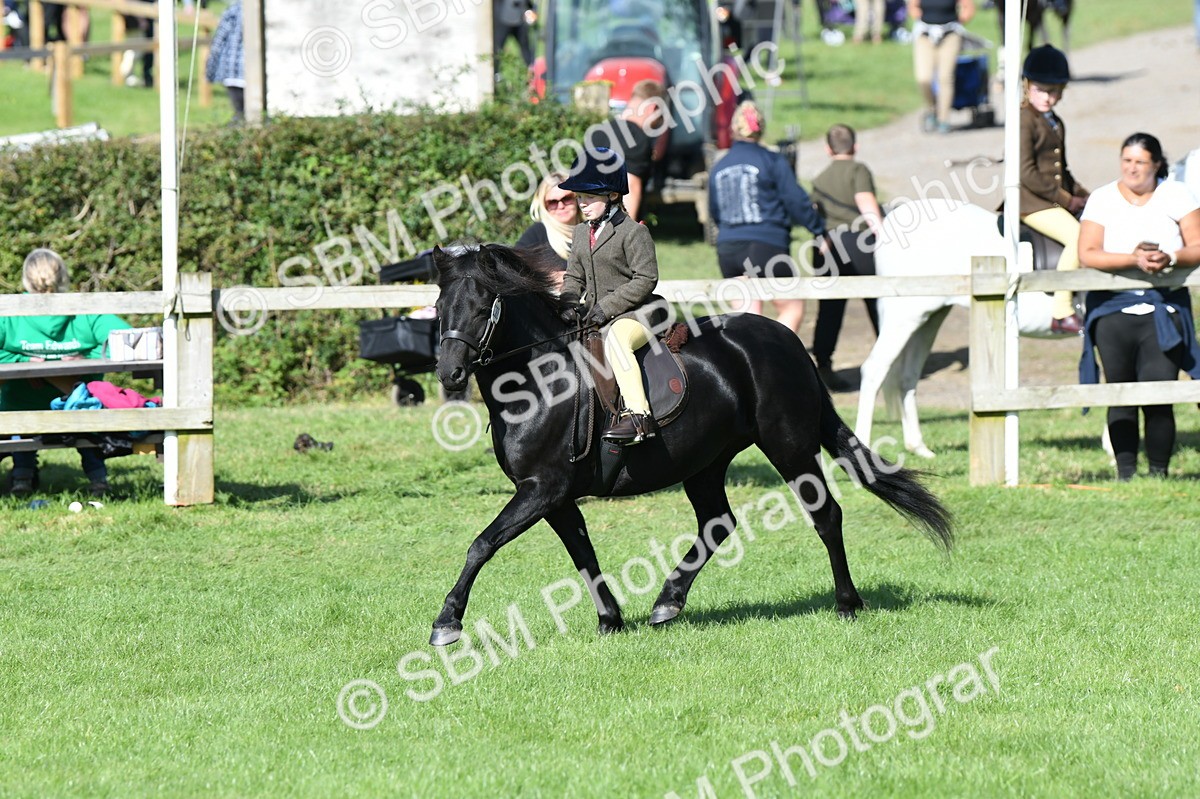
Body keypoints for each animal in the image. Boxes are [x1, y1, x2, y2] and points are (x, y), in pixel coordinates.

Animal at [428, 243, 953, 646]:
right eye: (439, 307)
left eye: (482, 308)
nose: (449, 374)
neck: (538, 381)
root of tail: (785, 339)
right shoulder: (553, 497)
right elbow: (583, 554)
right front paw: (611, 620)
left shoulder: (541, 489)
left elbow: (481, 545)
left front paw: (446, 623)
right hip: (705, 462)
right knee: (717, 523)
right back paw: (667, 602)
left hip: (790, 449)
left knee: (825, 515)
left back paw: (847, 604)